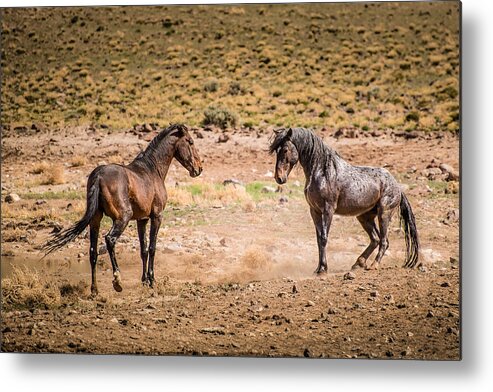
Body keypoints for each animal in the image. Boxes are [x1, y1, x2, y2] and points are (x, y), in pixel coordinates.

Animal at [42, 123, 202, 294]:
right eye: (190, 141)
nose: (199, 168)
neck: (152, 169)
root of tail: (98, 175)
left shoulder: (142, 220)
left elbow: (143, 250)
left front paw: (144, 280)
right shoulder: (157, 216)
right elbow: (152, 248)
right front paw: (152, 280)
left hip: (95, 220)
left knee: (93, 251)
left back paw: (94, 289)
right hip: (122, 217)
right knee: (109, 240)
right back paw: (117, 280)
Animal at [270, 127, 418, 274]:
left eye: (285, 150)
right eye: (276, 151)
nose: (279, 178)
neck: (322, 172)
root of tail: (397, 186)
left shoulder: (328, 210)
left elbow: (324, 238)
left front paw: (323, 269)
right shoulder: (315, 211)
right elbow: (318, 238)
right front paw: (318, 268)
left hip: (384, 214)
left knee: (384, 241)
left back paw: (373, 265)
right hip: (364, 217)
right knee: (375, 239)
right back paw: (358, 263)